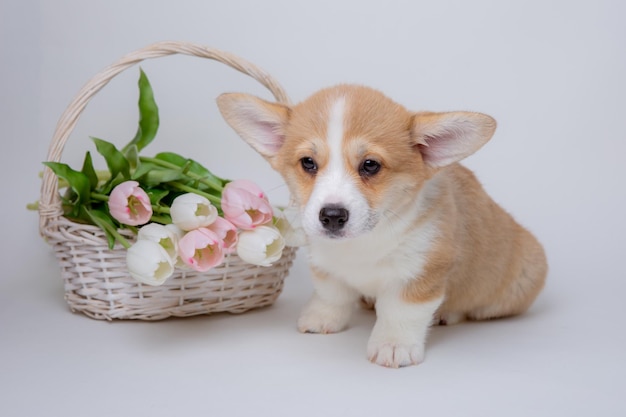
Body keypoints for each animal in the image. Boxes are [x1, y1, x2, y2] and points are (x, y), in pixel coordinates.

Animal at [216, 85, 544, 368]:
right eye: (308, 162)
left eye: (370, 165)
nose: (332, 216)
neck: (363, 242)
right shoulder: (324, 263)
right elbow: (330, 294)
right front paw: (322, 319)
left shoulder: (421, 272)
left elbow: (401, 311)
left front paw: (394, 345)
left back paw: (447, 314)